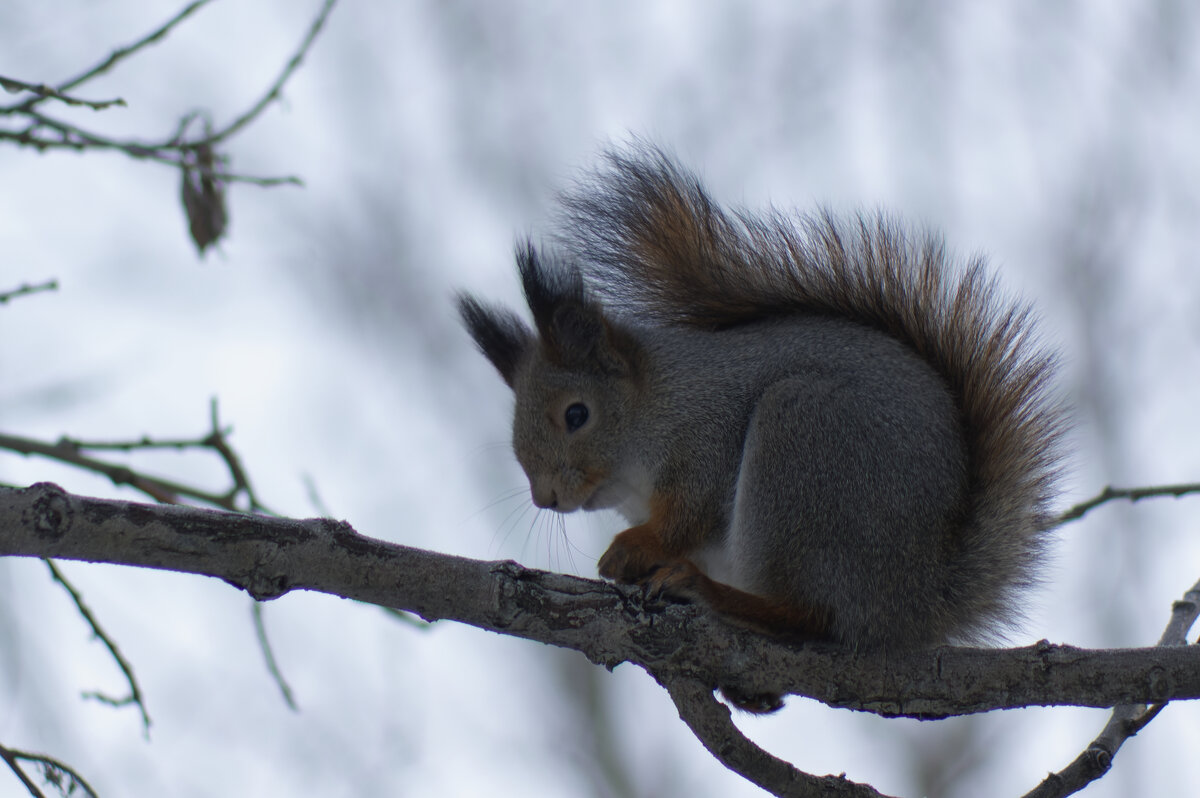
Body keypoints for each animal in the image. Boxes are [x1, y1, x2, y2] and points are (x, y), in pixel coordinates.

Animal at [458, 144, 1070, 710]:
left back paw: (711, 594)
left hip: (800, 448)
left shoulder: (706, 436)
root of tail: (915, 600)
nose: (546, 497)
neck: (655, 405)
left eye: (576, 414)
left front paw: (635, 548)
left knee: (810, 615)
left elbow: (690, 513)